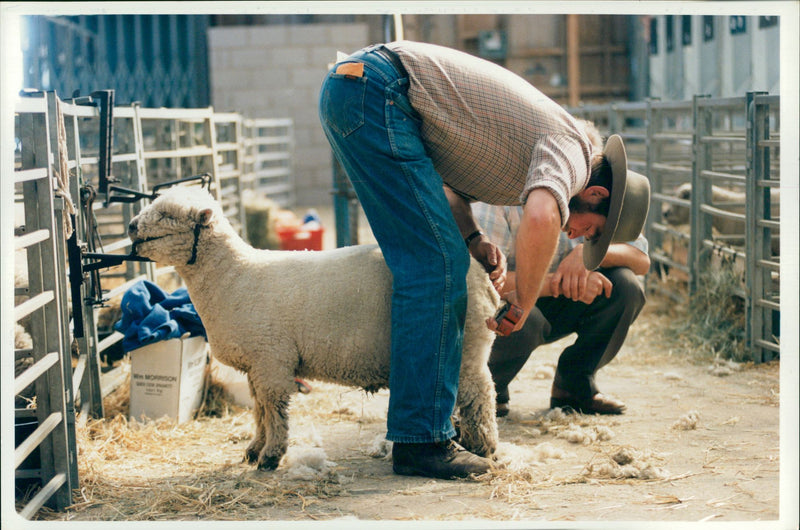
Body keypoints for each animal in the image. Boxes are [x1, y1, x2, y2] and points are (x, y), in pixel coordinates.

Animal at [128, 188, 504, 468]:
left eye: (168, 214)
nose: (131, 226)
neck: (232, 276)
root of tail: (479, 270)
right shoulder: (257, 365)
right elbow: (259, 410)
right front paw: (254, 449)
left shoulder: (271, 359)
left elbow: (273, 409)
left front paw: (270, 456)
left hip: (469, 344)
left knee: (480, 393)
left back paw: (483, 445)